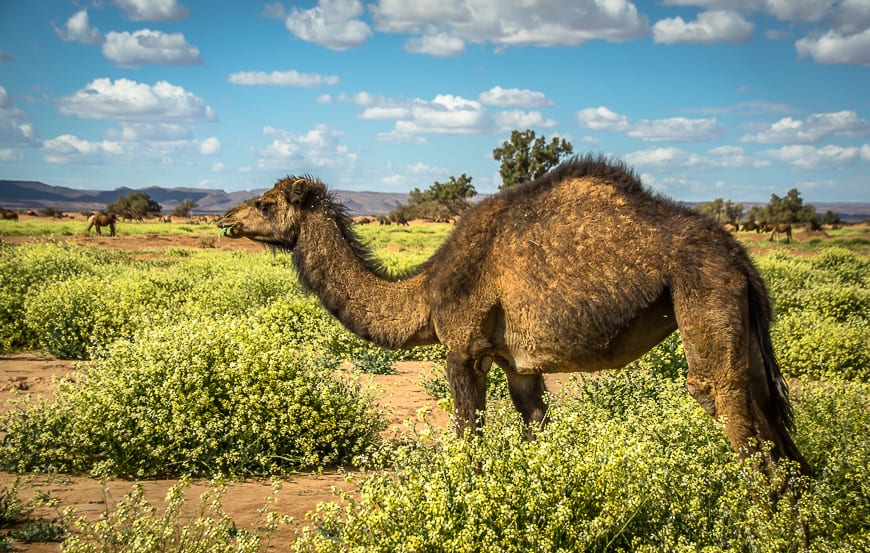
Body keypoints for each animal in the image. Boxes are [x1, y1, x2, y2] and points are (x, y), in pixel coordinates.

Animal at [216, 155, 812, 474]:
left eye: (266, 204)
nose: (226, 220)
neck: (424, 292)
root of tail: (740, 258)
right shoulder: (518, 365)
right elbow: (535, 429)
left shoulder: (462, 349)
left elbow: (467, 437)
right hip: (745, 328)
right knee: (784, 440)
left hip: (704, 296)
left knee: (737, 421)